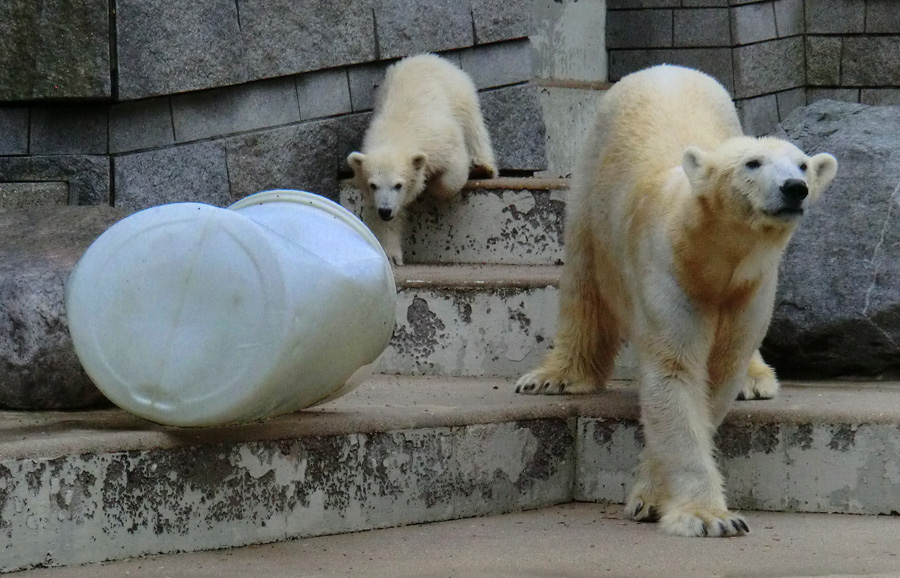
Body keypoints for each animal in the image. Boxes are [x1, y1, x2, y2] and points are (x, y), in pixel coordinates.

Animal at [516, 64, 840, 536]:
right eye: (753, 163)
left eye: (802, 164)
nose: (795, 188)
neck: (709, 255)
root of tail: (665, 68)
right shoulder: (668, 273)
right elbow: (675, 373)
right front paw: (709, 518)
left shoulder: (750, 286)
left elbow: (717, 375)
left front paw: (654, 496)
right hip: (592, 179)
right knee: (582, 279)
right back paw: (555, 377)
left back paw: (755, 380)